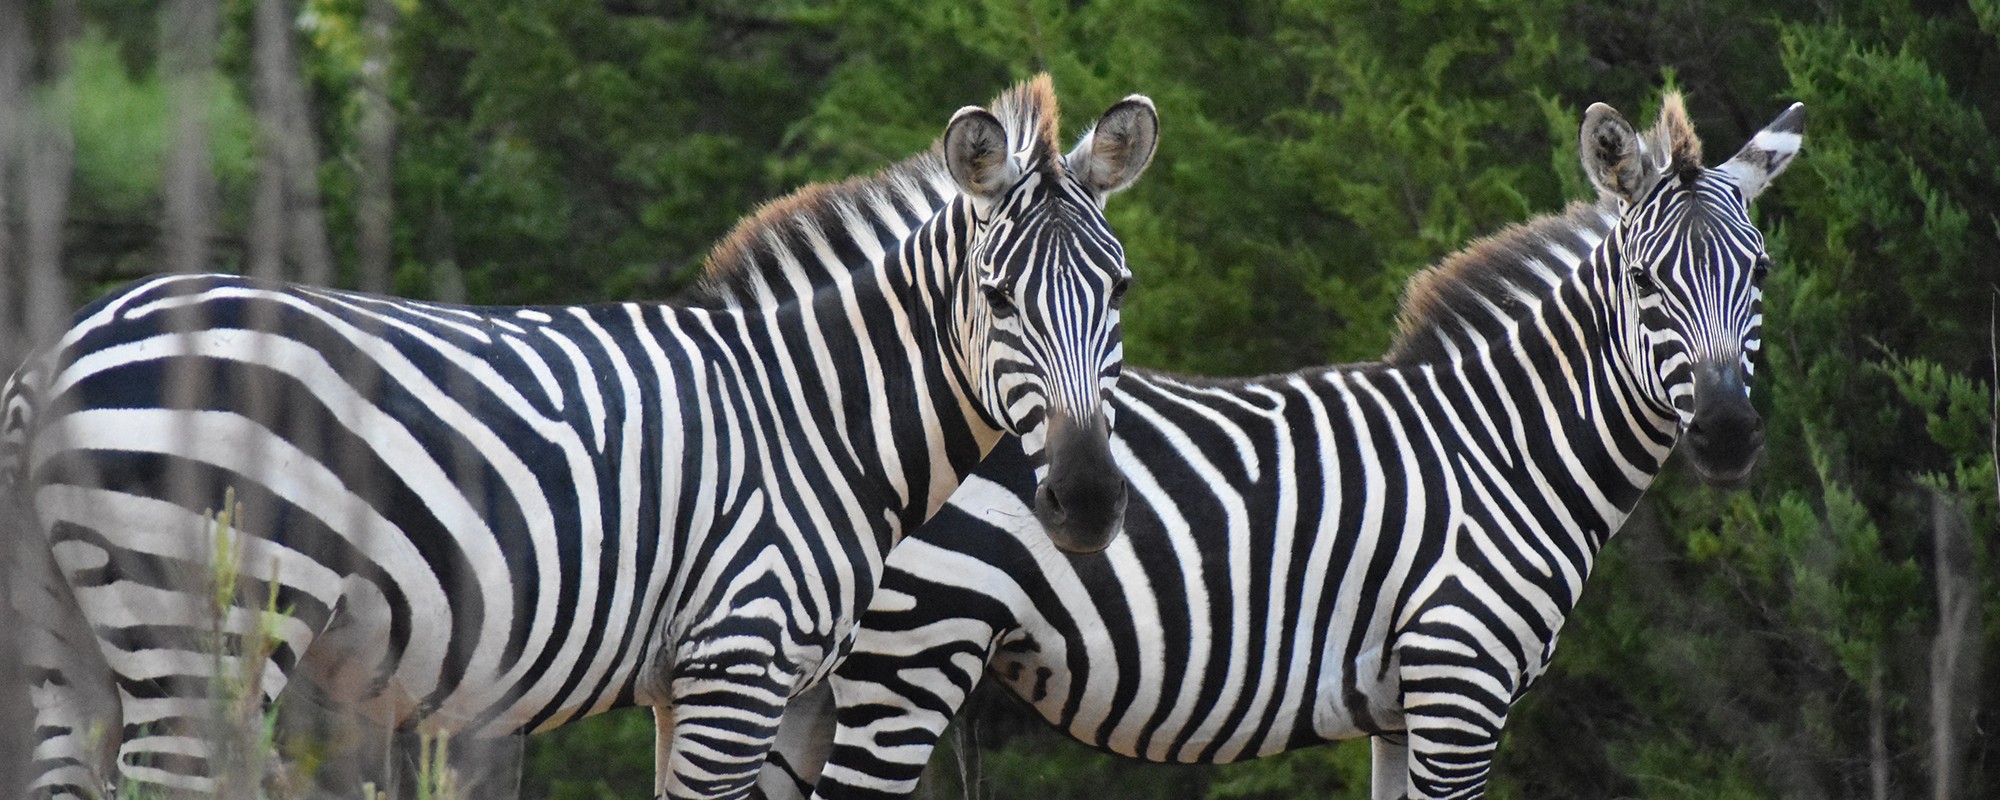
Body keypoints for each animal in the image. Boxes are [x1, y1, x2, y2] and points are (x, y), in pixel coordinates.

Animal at [7, 76, 1160, 800]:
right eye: (997, 296)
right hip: (205, 619)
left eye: (1120, 290)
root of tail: (53, 356)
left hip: (72, 637)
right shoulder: (737, 661)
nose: (1088, 499)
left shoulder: (706, 685)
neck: (817, 416)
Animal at [752, 95, 1816, 800]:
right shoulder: (1460, 680)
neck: (1504, 451)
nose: (1727, 436)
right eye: (1643, 280)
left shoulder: (1400, 706)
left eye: (1761, 273)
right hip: (910, 653)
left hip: (810, 686)